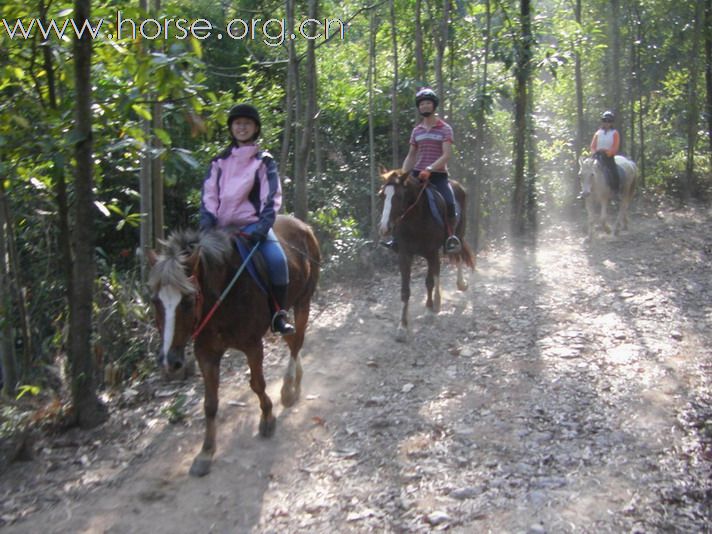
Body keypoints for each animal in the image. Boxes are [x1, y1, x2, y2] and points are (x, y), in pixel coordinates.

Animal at [147, 216, 320, 480]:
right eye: (155, 301)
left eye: (187, 301)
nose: (170, 361)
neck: (221, 297)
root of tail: (302, 225)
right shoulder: (206, 353)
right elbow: (210, 403)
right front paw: (206, 452)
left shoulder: (252, 344)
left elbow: (257, 384)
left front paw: (267, 418)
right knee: (292, 340)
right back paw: (295, 383)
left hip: (303, 300)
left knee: (297, 339)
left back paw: (289, 388)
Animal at [378, 170, 472, 342]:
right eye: (382, 195)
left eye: (399, 196)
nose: (384, 228)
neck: (415, 219)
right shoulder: (405, 255)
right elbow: (405, 290)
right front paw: (402, 327)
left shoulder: (430, 252)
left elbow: (429, 282)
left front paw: (429, 311)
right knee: (439, 270)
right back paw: (438, 301)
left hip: (459, 234)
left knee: (458, 256)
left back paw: (460, 285)